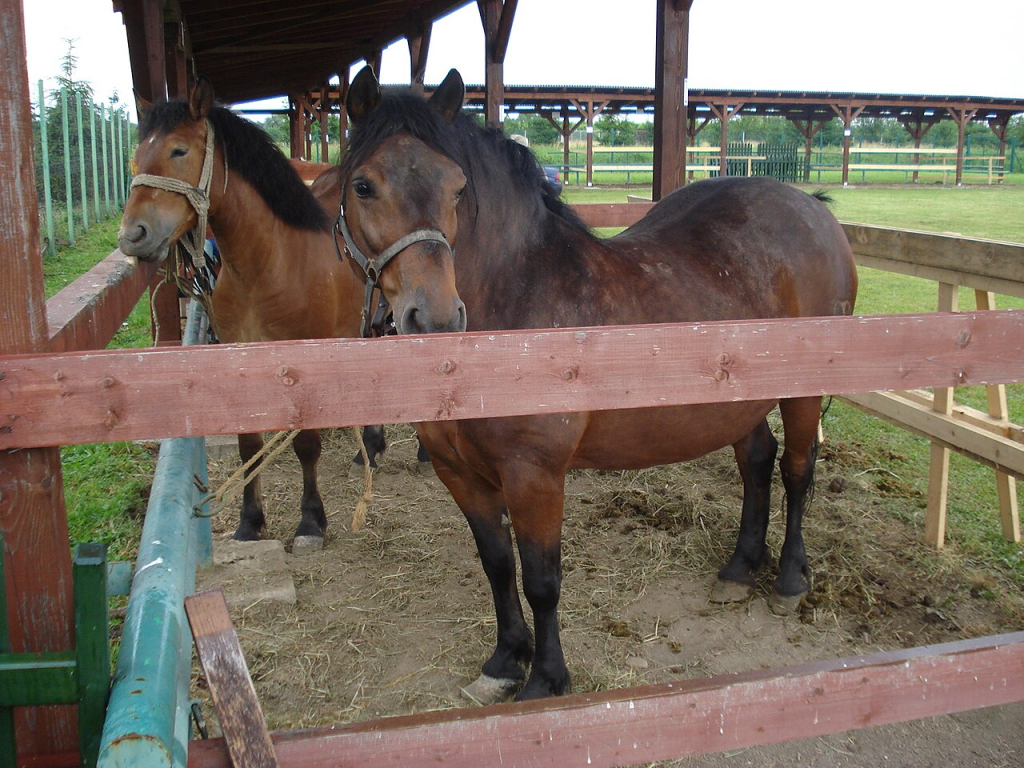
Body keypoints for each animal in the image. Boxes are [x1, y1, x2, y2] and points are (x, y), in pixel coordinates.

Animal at [116, 79, 456, 550]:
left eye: (179, 150)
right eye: (136, 154)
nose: (133, 235)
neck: (270, 265)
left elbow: (307, 446)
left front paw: (311, 522)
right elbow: (247, 445)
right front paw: (249, 521)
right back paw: (369, 448)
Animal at [336, 66, 858, 703]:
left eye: (458, 187)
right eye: (363, 186)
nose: (433, 317)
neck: (515, 309)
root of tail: (813, 208)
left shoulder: (534, 475)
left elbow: (541, 580)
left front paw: (545, 679)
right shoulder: (459, 472)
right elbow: (496, 566)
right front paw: (504, 662)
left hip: (802, 392)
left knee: (798, 469)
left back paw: (787, 579)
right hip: (737, 401)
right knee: (757, 461)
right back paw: (739, 569)